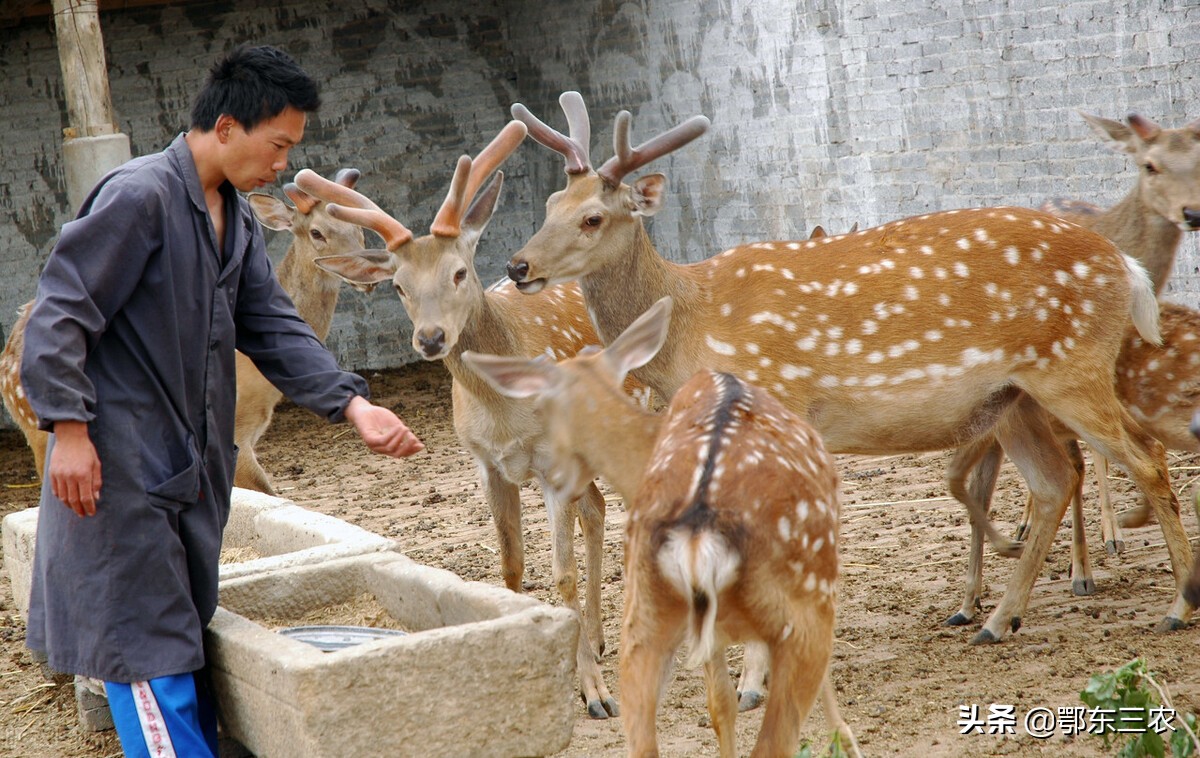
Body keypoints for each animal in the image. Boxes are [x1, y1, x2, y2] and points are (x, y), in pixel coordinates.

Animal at [0, 168, 365, 495]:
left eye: (360, 228)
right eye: (316, 232)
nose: (363, 275)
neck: (261, 387)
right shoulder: (234, 433)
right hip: (38, 429)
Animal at [292, 121, 652, 720]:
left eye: (460, 271)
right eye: (398, 285)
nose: (431, 338)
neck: (504, 415)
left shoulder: (551, 466)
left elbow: (561, 575)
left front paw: (596, 694)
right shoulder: (486, 464)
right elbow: (511, 566)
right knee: (598, 509)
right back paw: (602, 639)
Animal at [503, 94, 1195, 682]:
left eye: (593, 218)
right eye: (549, 206)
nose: (517, 265)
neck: (690, 323)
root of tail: (1125, 266)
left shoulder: (775, 398)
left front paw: (756, 678)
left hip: (1072, 367)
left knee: (1146, 458)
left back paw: (1177, 606)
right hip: (1014, 397)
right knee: (1055, 481)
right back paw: (997, 621)